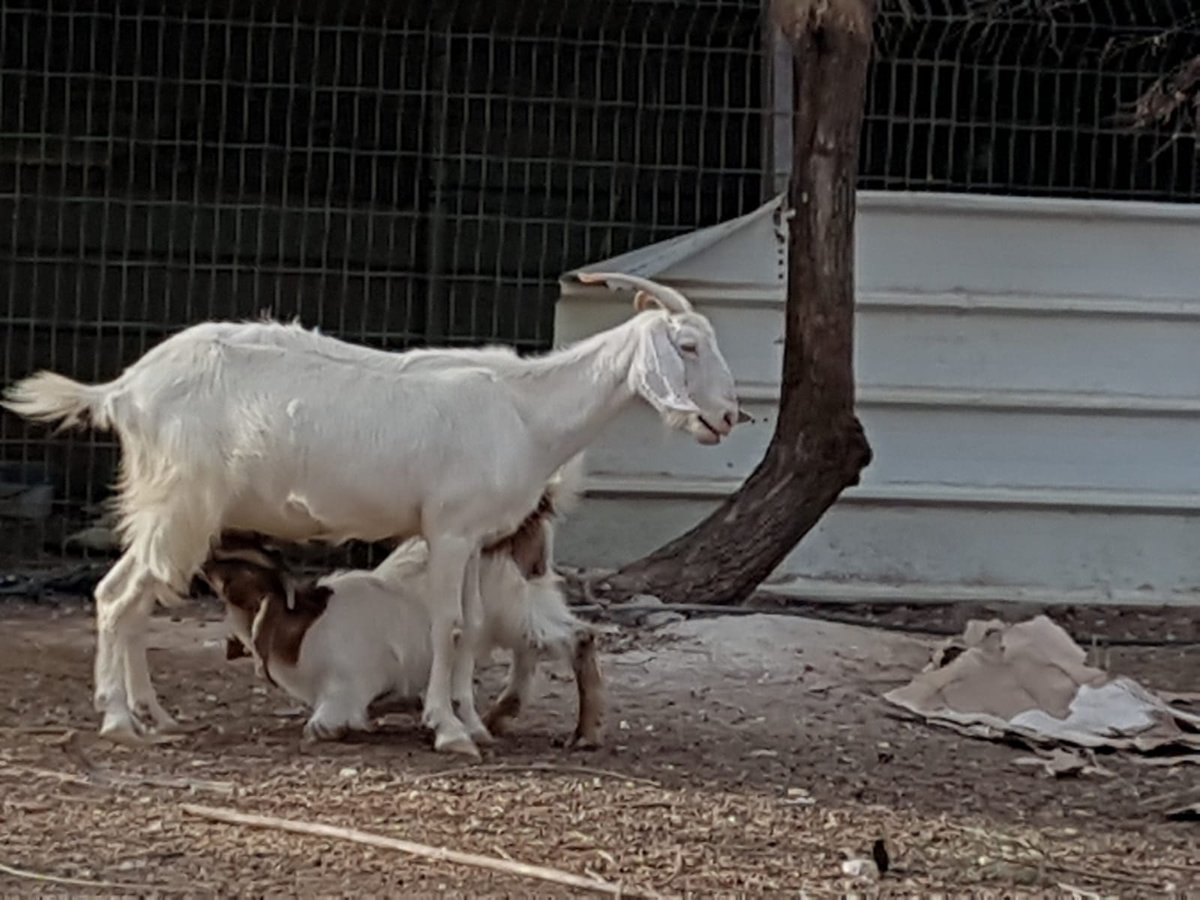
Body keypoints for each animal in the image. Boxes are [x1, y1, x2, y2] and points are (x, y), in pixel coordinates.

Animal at [206, 458, 604, 748]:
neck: (305, 626)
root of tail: (533, 511)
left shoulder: (347, 685)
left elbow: (321, 723)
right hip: (525, 602)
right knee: (535, 647)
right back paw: (499, 715)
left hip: (515, 606)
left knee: (577, 637)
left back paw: (583, 734)